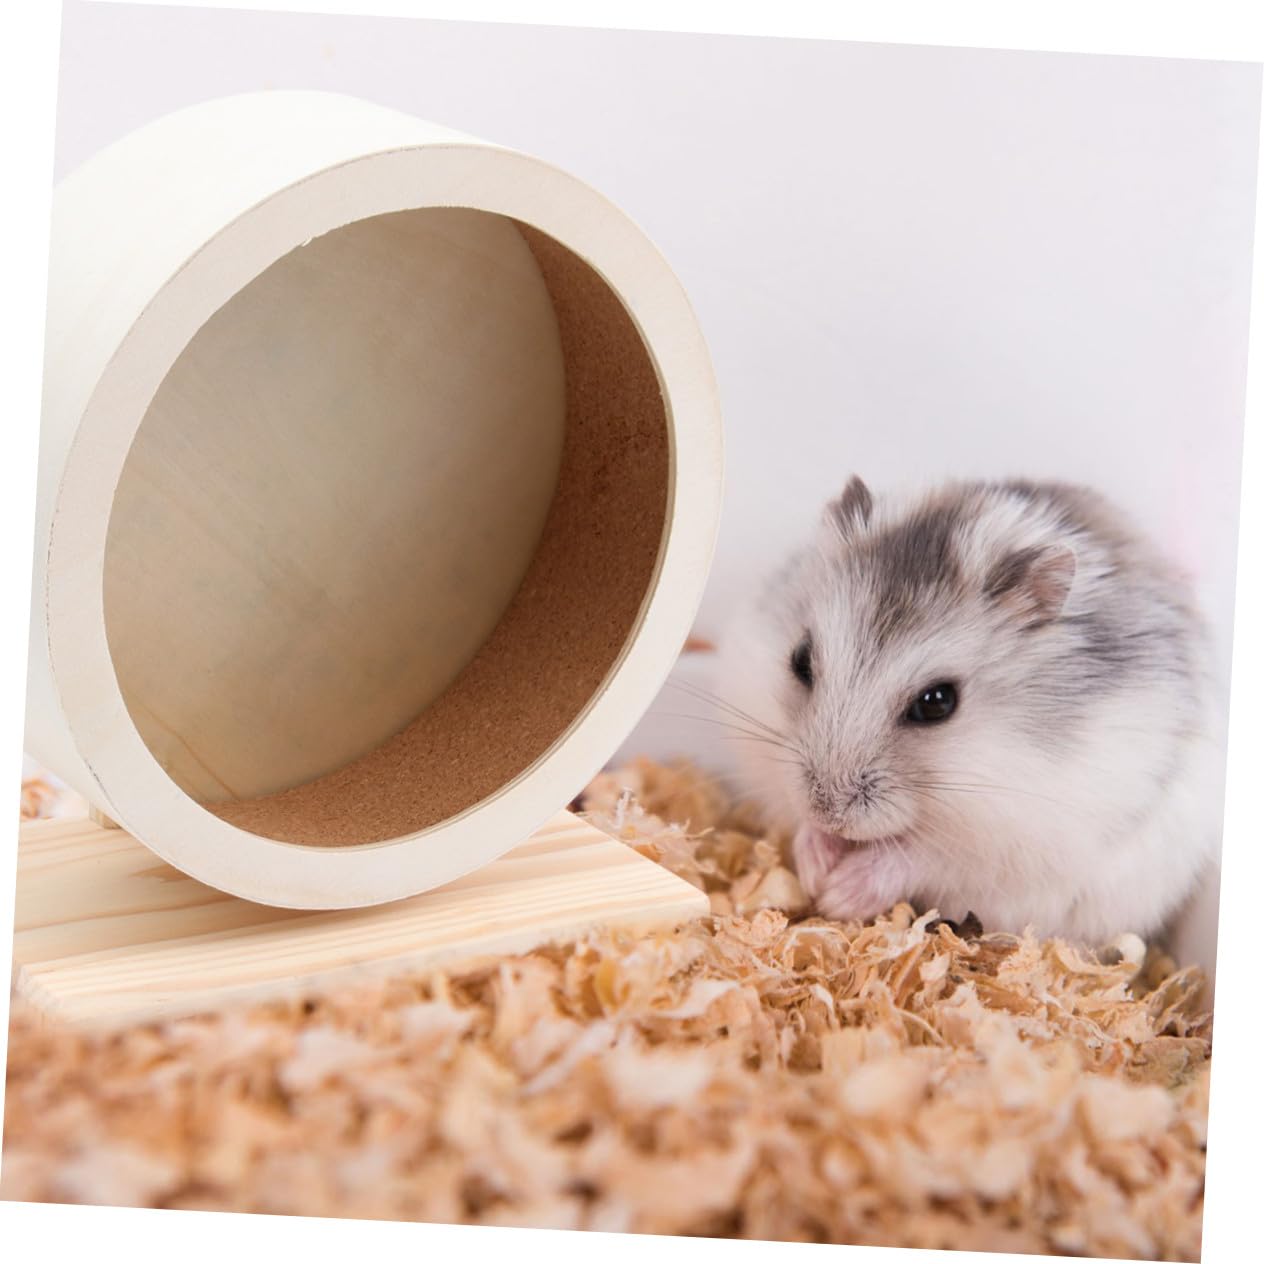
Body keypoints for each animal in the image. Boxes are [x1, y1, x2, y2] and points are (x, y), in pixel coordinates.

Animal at [715, 477, 1223, 946]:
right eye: (800, 660)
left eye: (938, 702)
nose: (827, 812)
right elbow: (796, 818)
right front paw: (815, 867)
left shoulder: (1015, 839)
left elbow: (920, 856)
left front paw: (838, 893)